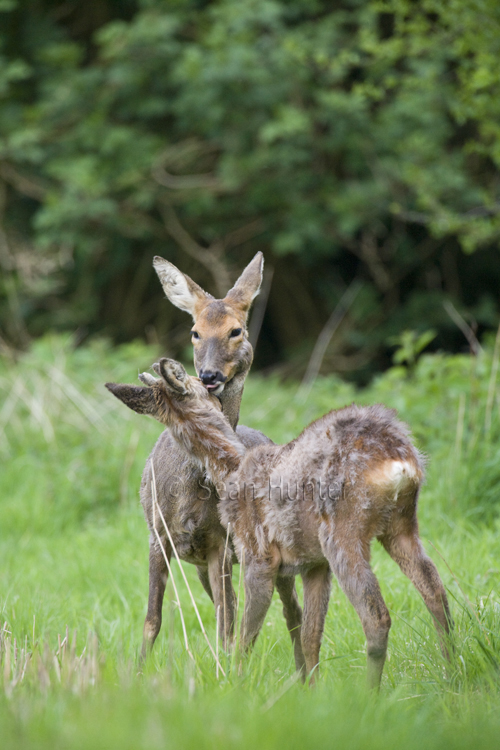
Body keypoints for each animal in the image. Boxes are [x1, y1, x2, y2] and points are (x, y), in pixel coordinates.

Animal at [107, 362, 452, 692]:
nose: (214, 380)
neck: (229, 469)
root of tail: (399, 460)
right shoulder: (314, 564)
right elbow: (311, 636)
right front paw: (312, 691)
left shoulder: (257, 554)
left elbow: (244, 634)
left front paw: (234, 685)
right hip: (401, 526)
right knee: (435, 590)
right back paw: (451, 670)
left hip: (342, 532)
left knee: (377, 616)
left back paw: (372, 695)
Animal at [129, 256, 302, 668]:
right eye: (194, 331)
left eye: (236, 330)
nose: (208, 376)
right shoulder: (157, 535)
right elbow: (152, 619)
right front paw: (138, 671)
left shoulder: (220, 545)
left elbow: (226, 622)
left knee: (289, 610)